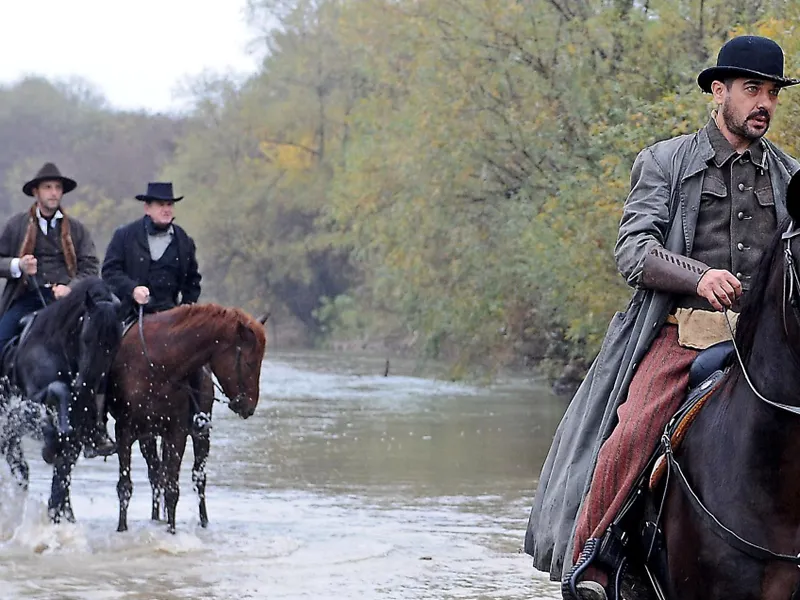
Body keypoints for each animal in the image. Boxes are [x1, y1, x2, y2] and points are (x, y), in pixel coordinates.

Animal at [0, 276, 122, 520]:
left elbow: (61, 481)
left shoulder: (77, 438)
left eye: (114, 344)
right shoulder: (27, 405)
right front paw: (51, 443)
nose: (86, 390)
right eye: (87, 338)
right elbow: (56, 393)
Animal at [106, 304, 268, 536]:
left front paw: (171, 531)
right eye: (249, 363)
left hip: (200, 436)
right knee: (156, 474)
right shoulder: (125, 431)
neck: (157, 363)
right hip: (147, 436)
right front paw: (122, 529)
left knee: (197, 477)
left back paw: (203, 522)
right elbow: (125, 486)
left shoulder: (177, 433)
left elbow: (172, 488)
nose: (248, 407)